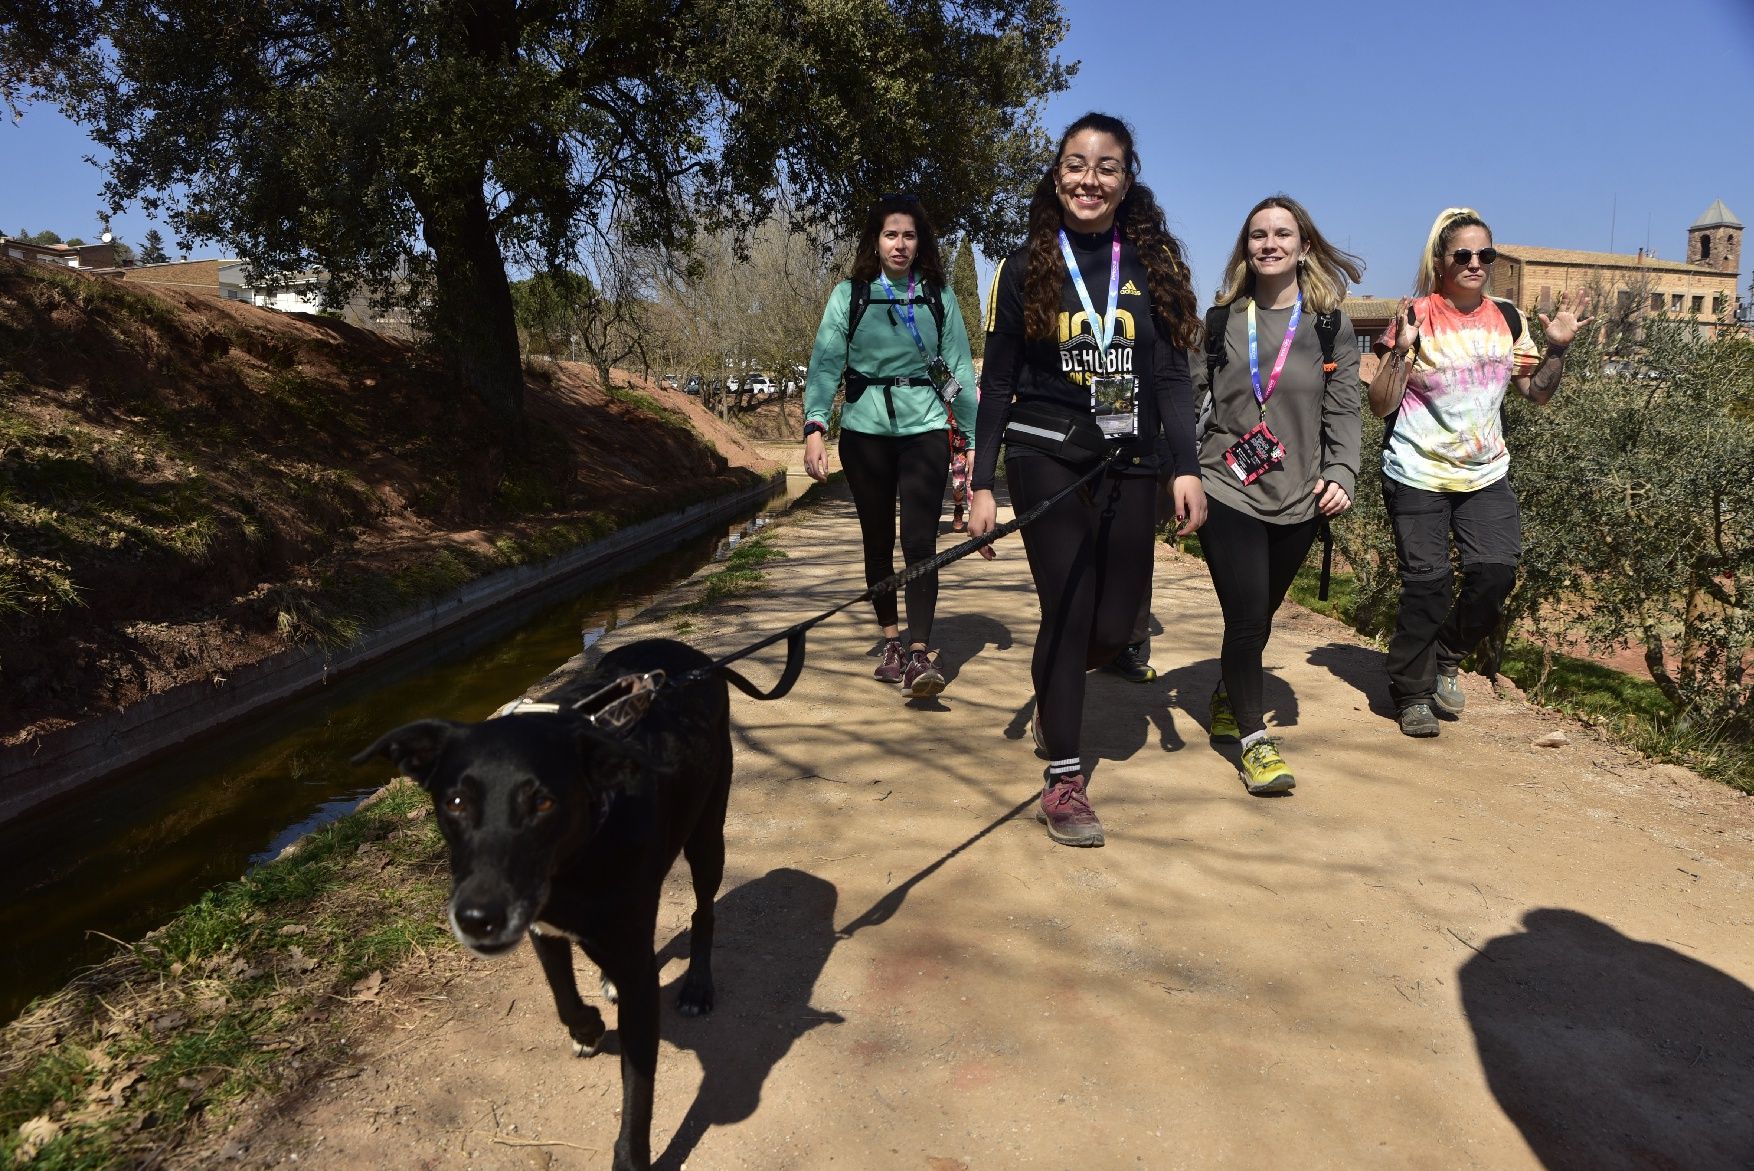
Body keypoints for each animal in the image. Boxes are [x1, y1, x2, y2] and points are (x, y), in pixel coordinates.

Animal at [352, 641, 743, 1171]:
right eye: (455, 802)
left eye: (543, 803)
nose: (478, 919)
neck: (579, 855)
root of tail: (688, 654)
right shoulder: (544, 929)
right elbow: (563, 998)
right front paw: (588, 1028)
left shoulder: (638, 979)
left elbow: (638, 1093)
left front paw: (631, 1158)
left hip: (706, 835)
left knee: (704, 913)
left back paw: (698, 987)